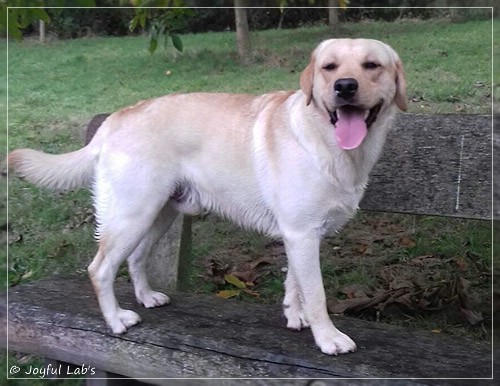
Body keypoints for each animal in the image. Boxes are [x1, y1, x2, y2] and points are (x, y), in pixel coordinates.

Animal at [8, 39, 406, 356]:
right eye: (329, 67)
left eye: (372, 65)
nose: (345, 87)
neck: (326, 141)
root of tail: (113, 119)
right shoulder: (301, 232)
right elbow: (317, 292)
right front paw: (327, 338)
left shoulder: (302, 234)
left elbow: (295, 282)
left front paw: (296, 315)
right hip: (131, 214)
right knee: (100, 268)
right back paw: (117, 320)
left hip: (159, 214)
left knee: (136, 258)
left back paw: (147, 296)